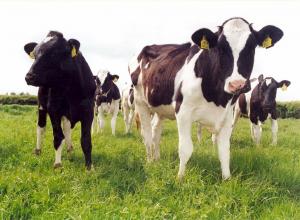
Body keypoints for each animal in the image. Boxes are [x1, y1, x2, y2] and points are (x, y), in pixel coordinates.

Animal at [24, 30, 95, 170]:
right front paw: (57, 164)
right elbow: (58, 137)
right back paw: (38, 151)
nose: (29, 76)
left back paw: (70, 150)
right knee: (41, 127)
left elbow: (86, 140)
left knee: (67, 128)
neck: (71, 90)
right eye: (34, 55)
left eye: (54, 53)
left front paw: (89, 167)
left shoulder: (89, 110)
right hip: (41, 106)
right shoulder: (53, 109)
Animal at [129, 18, 284, 180]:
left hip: (160, 108)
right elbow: (185, 148)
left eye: (251, 47)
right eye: (220, 48)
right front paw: (180, 178)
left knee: (156, 131)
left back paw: (157, 158)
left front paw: (227, 179)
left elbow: (224, 150)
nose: (237, 85)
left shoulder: (227, 115)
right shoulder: (183, 112)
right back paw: (149, 161)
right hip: (140, 102)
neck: (216, 98)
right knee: (146, 134)